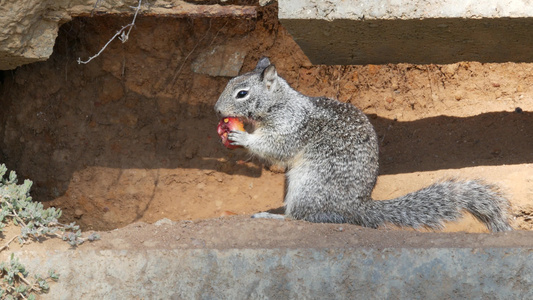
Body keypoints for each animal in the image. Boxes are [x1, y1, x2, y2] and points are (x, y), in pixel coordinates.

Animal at [213, 56, 512, 232]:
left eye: (242, 93)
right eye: (231, 83)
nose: (217, 110)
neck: (279, 102)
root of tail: (357, 206)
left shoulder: (291, 125)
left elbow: (276, 147)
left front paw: (242, 137)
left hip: (308, 185)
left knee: (304, 217)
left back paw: (274, 216)